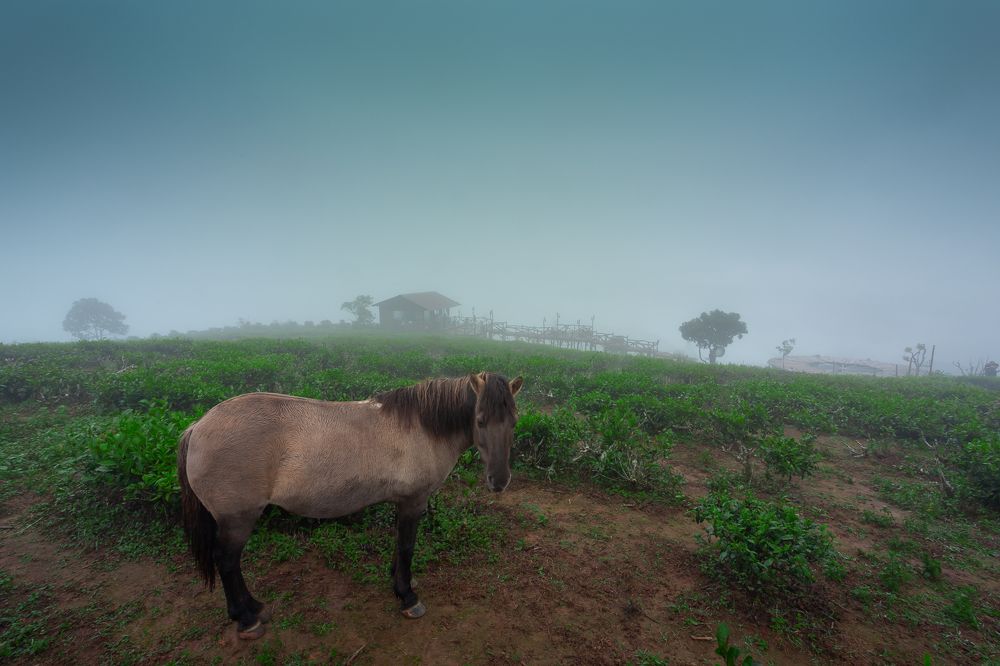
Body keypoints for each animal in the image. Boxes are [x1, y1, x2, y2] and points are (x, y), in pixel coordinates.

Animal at [177, 371, 523, 640]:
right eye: (480, 420)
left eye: (514, 422)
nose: (499, 480)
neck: (421, 428)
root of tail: (198, 426)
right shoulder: (413, 501)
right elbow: (407, 546)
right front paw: (408, 597)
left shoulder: (401, 502)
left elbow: (398, 544)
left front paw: (398, 581)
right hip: (238, 518)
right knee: (226, 561)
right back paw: (246, 619)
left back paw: (255, 608)